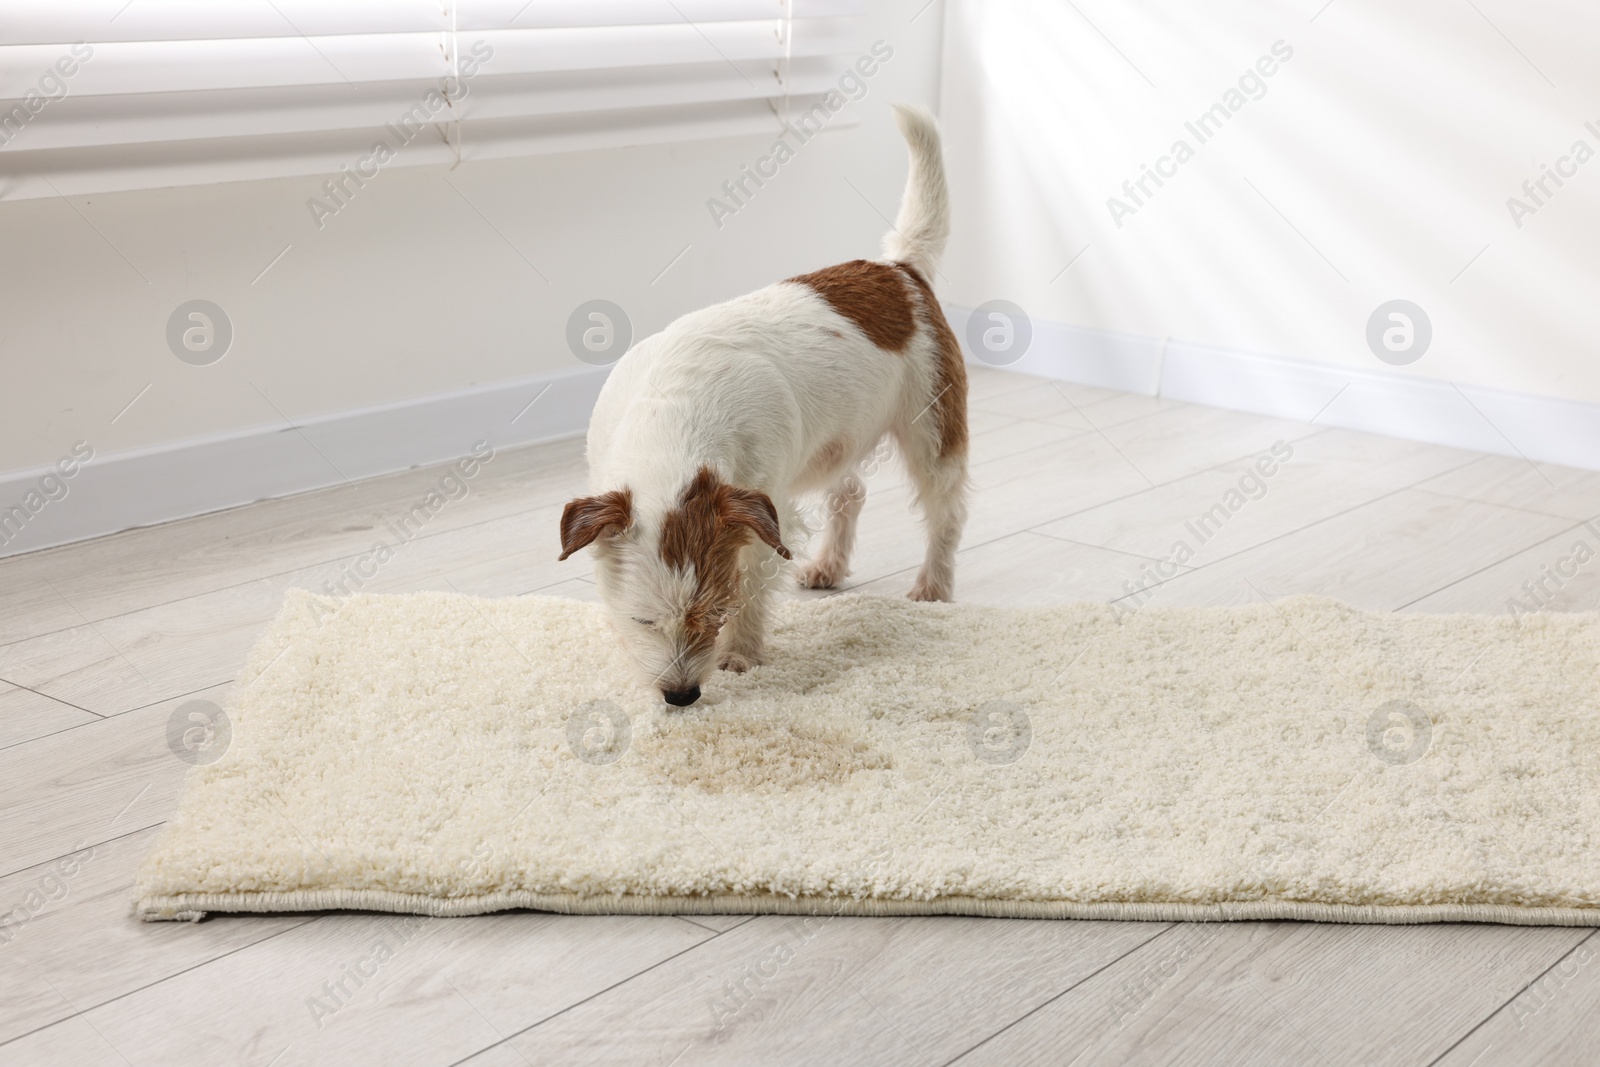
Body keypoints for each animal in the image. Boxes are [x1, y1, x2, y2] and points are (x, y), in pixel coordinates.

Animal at [556, 106, 966, 710]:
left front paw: (740, 655)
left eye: (713, 613)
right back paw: (828, 565)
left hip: (932, 432)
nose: (681, 696)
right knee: (850, 492)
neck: (673, 419)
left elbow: (752, 586)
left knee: (946, 512)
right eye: (644, 621)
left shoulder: (765, 514)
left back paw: (933, 586)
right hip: (836, 440)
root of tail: (899, 270)